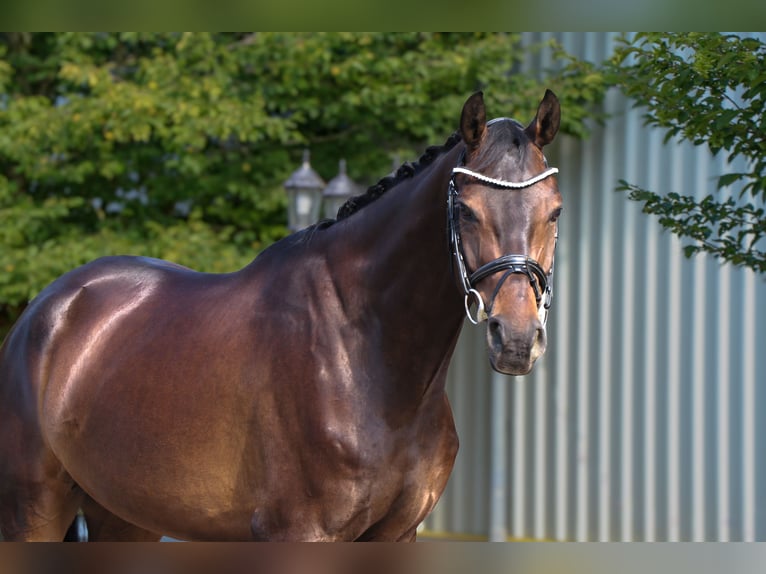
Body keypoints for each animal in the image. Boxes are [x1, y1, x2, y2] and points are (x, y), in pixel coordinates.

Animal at [0, 90, 561, 541]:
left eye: (554, 210)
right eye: (466, 209)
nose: (515, 338)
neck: (365, 354)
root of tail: (44, 312)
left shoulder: (397, 535)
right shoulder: (301, 532)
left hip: (124, 517)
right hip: (35, 508)